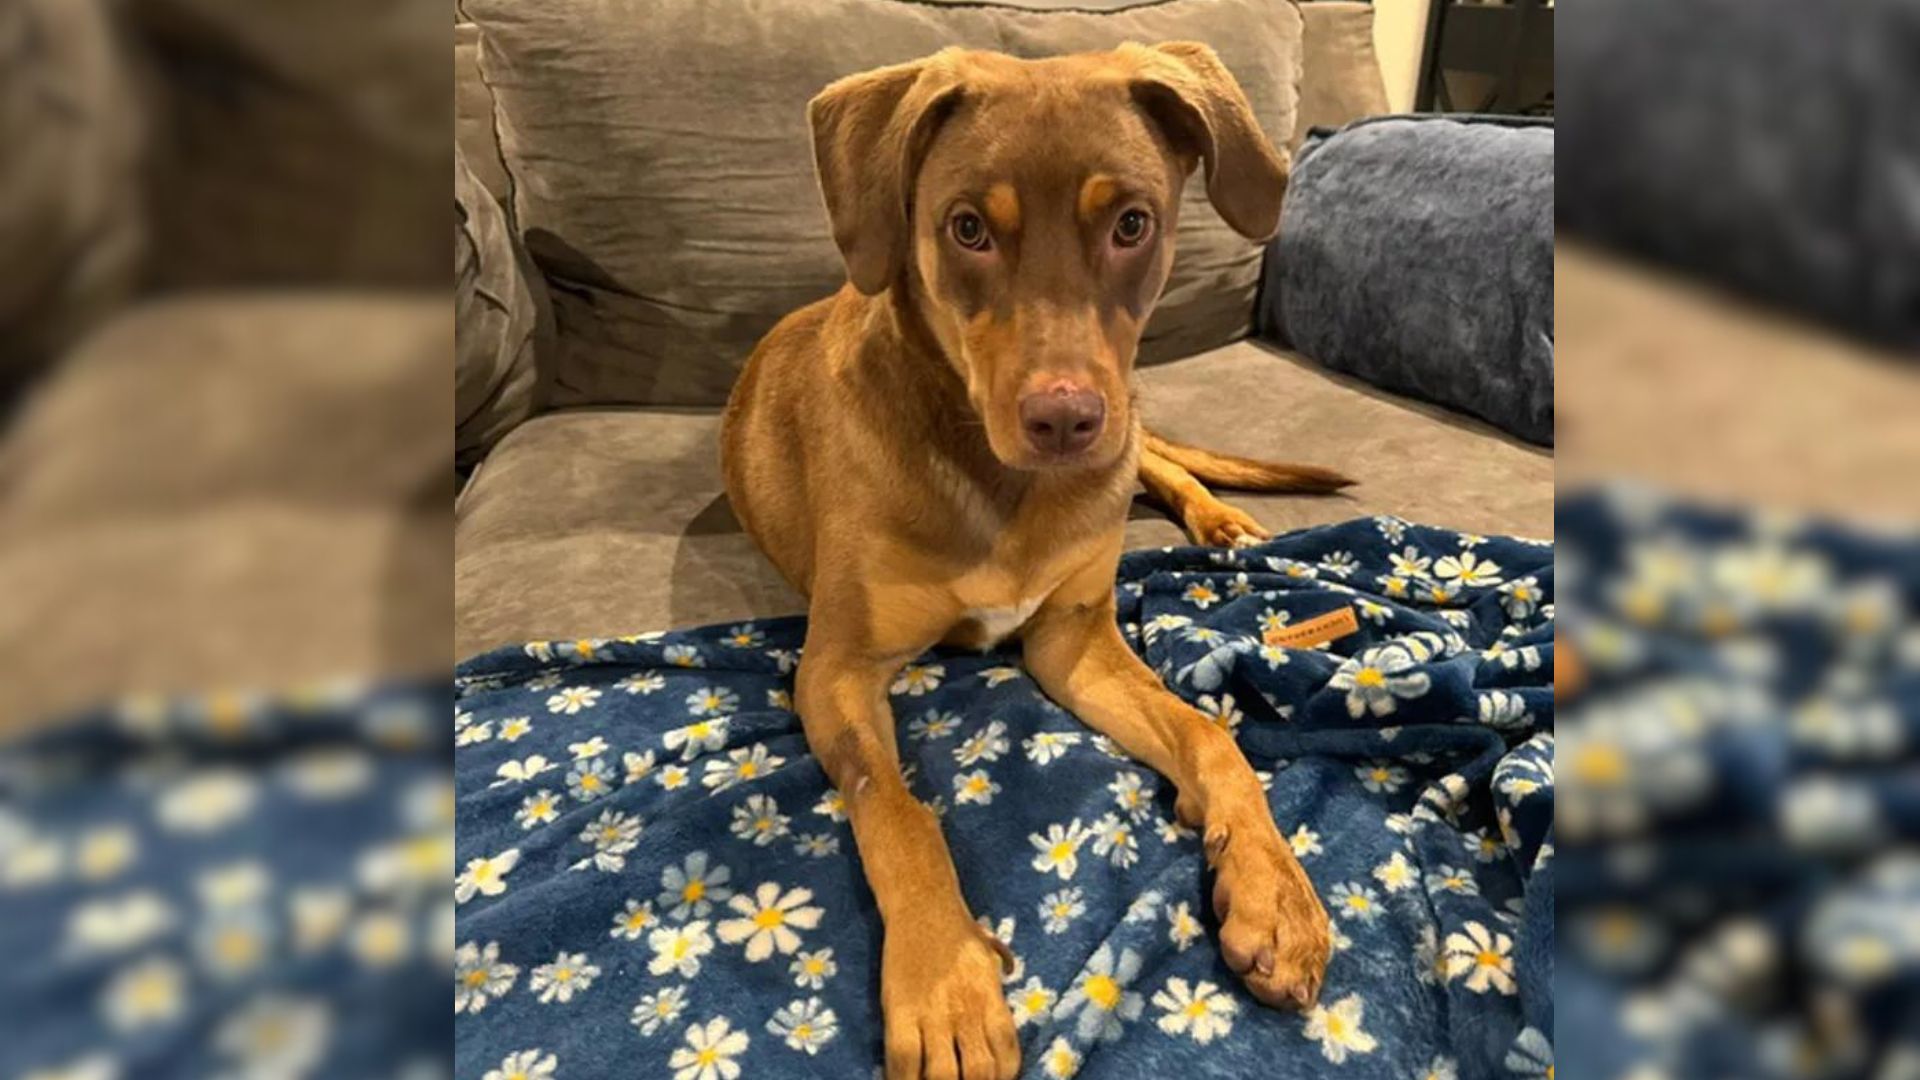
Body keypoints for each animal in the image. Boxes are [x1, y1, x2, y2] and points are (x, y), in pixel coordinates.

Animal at [725, 42, 1344, 1076]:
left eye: (1132, 222)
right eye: (967, 228)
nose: (1065, 423)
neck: (999, 482)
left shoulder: (1071, 640)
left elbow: (1208, 733)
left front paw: (1272, 889)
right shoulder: (836, 667)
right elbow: (895, 809)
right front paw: (945, 985)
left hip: (1133, 430)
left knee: (1161, 458)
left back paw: (1220, 518)